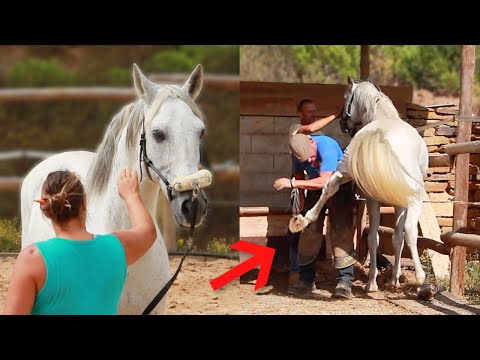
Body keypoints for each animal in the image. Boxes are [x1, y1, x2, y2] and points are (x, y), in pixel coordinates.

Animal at [288, 77, 436, 300]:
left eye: (346, 98)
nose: (342, 123)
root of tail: (382, 137)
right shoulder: (395, 201)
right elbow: (396, 237)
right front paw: (392, 279)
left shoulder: (376, 199)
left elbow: (382, 237)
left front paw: (381, 281)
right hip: (410, 198)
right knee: (409, 232)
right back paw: (422, 284)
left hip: (351, 173)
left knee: (330, 187)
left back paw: (302, 220)